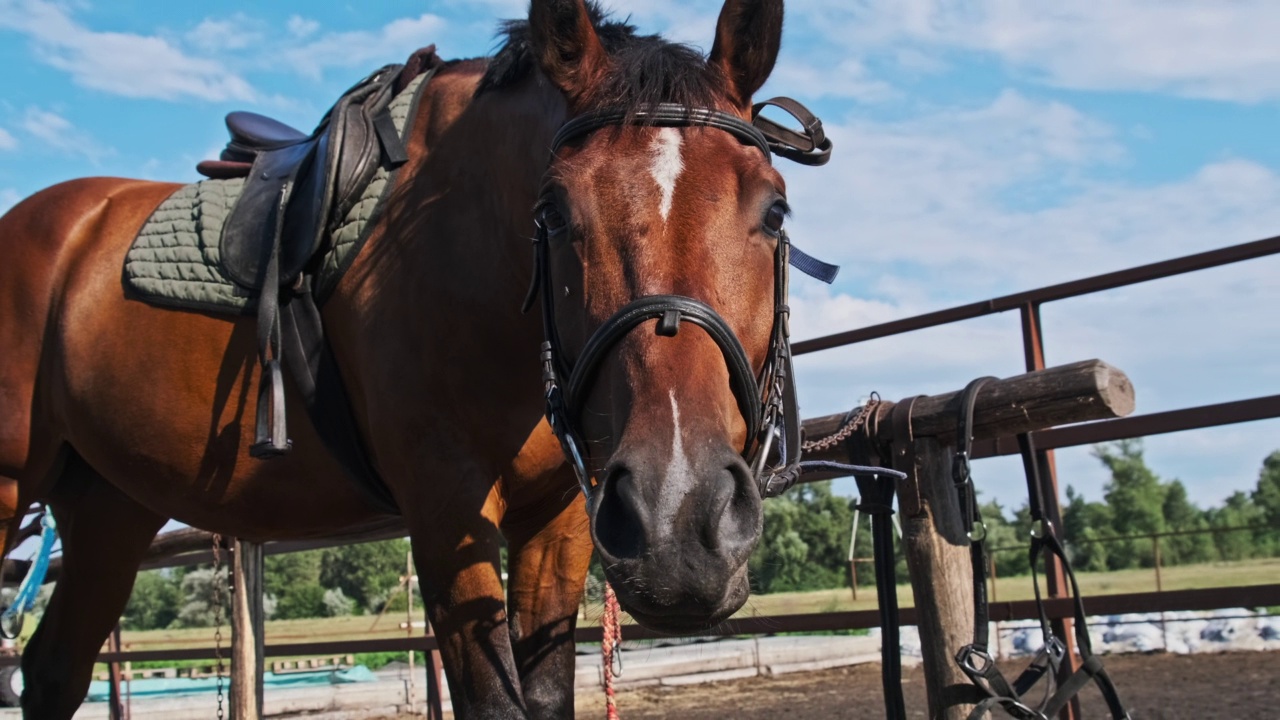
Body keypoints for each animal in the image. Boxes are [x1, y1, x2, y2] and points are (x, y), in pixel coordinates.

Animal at [0, 0, 803, 712]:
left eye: (774, 210)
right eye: (551, 212)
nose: (682, 524)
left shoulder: (561, 518)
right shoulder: (448, 511)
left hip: (108, 509)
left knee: (52, 670)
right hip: (15, 491)